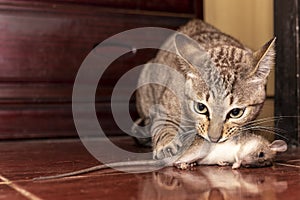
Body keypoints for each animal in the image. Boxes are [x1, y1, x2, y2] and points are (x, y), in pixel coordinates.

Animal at [135, 18, 276, 159]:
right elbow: (164, 123)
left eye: (236, 112)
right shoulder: (164, 106)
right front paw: (166, 144)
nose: (214, 138)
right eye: (201, 107)